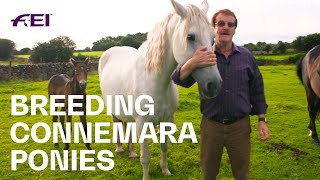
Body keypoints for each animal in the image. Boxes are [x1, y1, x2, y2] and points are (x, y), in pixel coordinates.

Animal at [99, 0, 221, 179]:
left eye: (213, 39)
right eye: (190, 37)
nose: (214, 85)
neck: (156, 81)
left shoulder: (167, 120)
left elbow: (164, 147)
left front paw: (165, 170)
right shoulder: (142, 123)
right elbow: (146, 157)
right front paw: (146, 176)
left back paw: (131, 152)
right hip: (114, 111)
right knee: (117, 125)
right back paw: (120, 149)